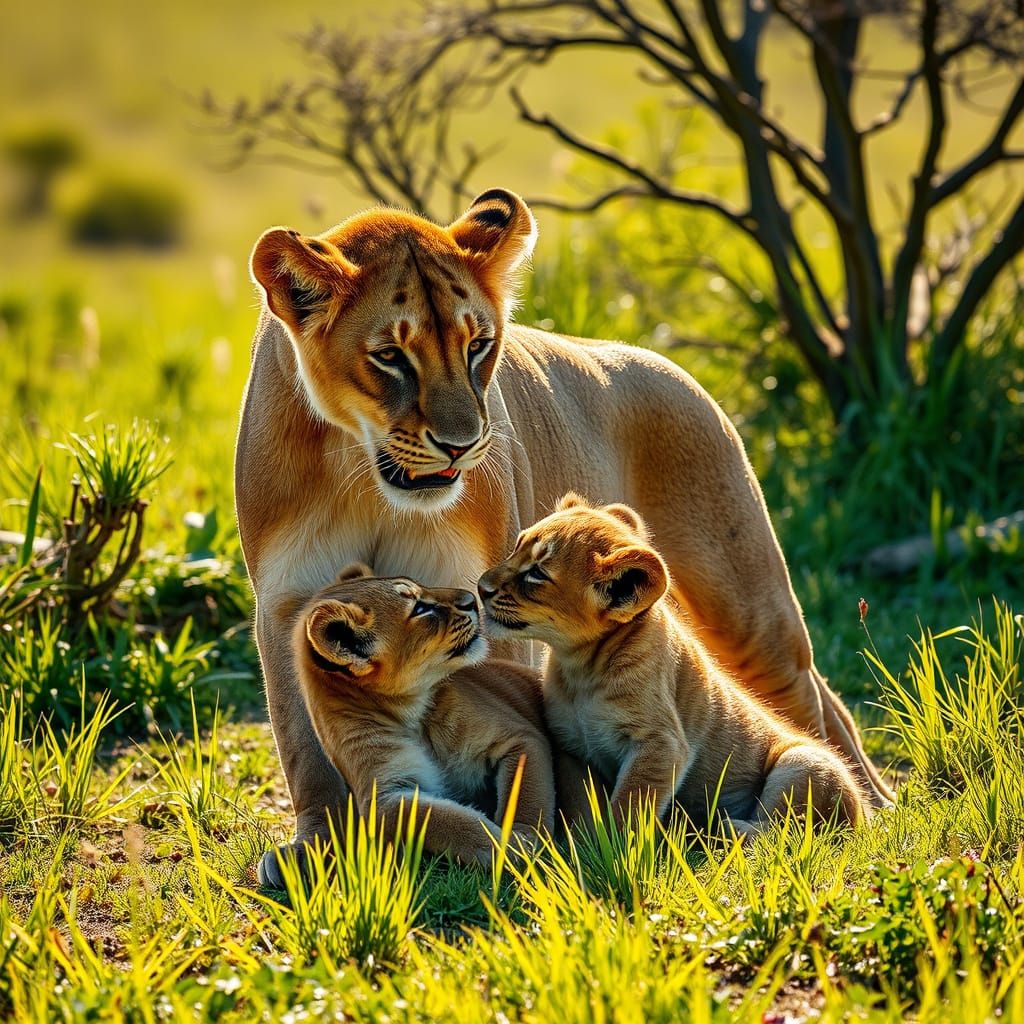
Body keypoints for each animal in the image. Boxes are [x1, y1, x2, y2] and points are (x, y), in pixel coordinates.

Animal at [292, 564, 555, 867]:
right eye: (419, 609)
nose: (471, 598)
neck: (411, 715)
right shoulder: (386, 794)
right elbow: (443, 821)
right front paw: (507, 849)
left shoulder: (519, 738)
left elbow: (525, 797)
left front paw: (524, 842)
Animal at [478, 495, 868, 835]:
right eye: (516, 546)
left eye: (537, 574)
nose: (481, 587)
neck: (580, 667)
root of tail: (864, 815)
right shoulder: (572, 746)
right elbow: (581, 804)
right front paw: (581, 843)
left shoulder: (660, 743)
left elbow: (629, 806)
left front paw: (607, 853)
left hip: (802, 764)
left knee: (784, 832)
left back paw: (720, 828)